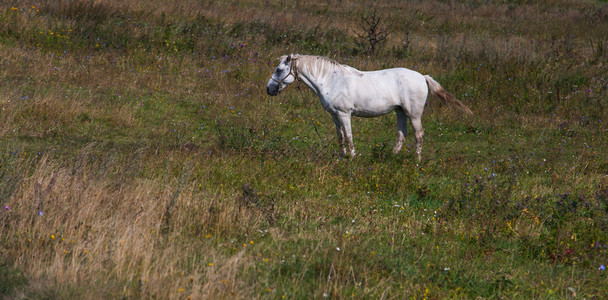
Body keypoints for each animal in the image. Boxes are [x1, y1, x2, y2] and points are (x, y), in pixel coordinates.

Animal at [268, 54, 476, 161]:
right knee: (402, 135)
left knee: (419, 135)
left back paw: (416, 162)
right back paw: (389, 157)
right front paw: (342, 156)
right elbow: (340, 137)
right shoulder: (335, 116)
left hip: (413, 113)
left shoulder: (344, 114)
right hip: (400, 111)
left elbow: (349, 136)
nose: (269, 89)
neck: (331, 80)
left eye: (279, 69)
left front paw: (352, 157)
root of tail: (422, 77)